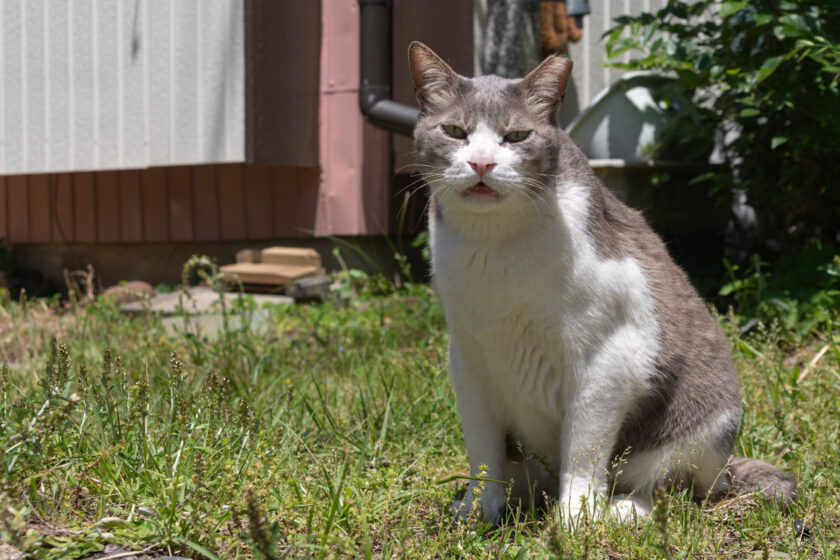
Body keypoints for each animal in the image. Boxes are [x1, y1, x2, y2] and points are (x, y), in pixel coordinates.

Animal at [406, 40, 796, 524]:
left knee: (666, 488)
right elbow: (483, 449)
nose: (481, 162)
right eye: (454, 131)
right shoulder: (468, 357)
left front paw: (575, 517)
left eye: (516, 137)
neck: (497, 250)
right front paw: (481, 508)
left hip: (699, 425)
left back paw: (621, 510)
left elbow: (584, 449)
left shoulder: (607, 357)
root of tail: (725, 469)